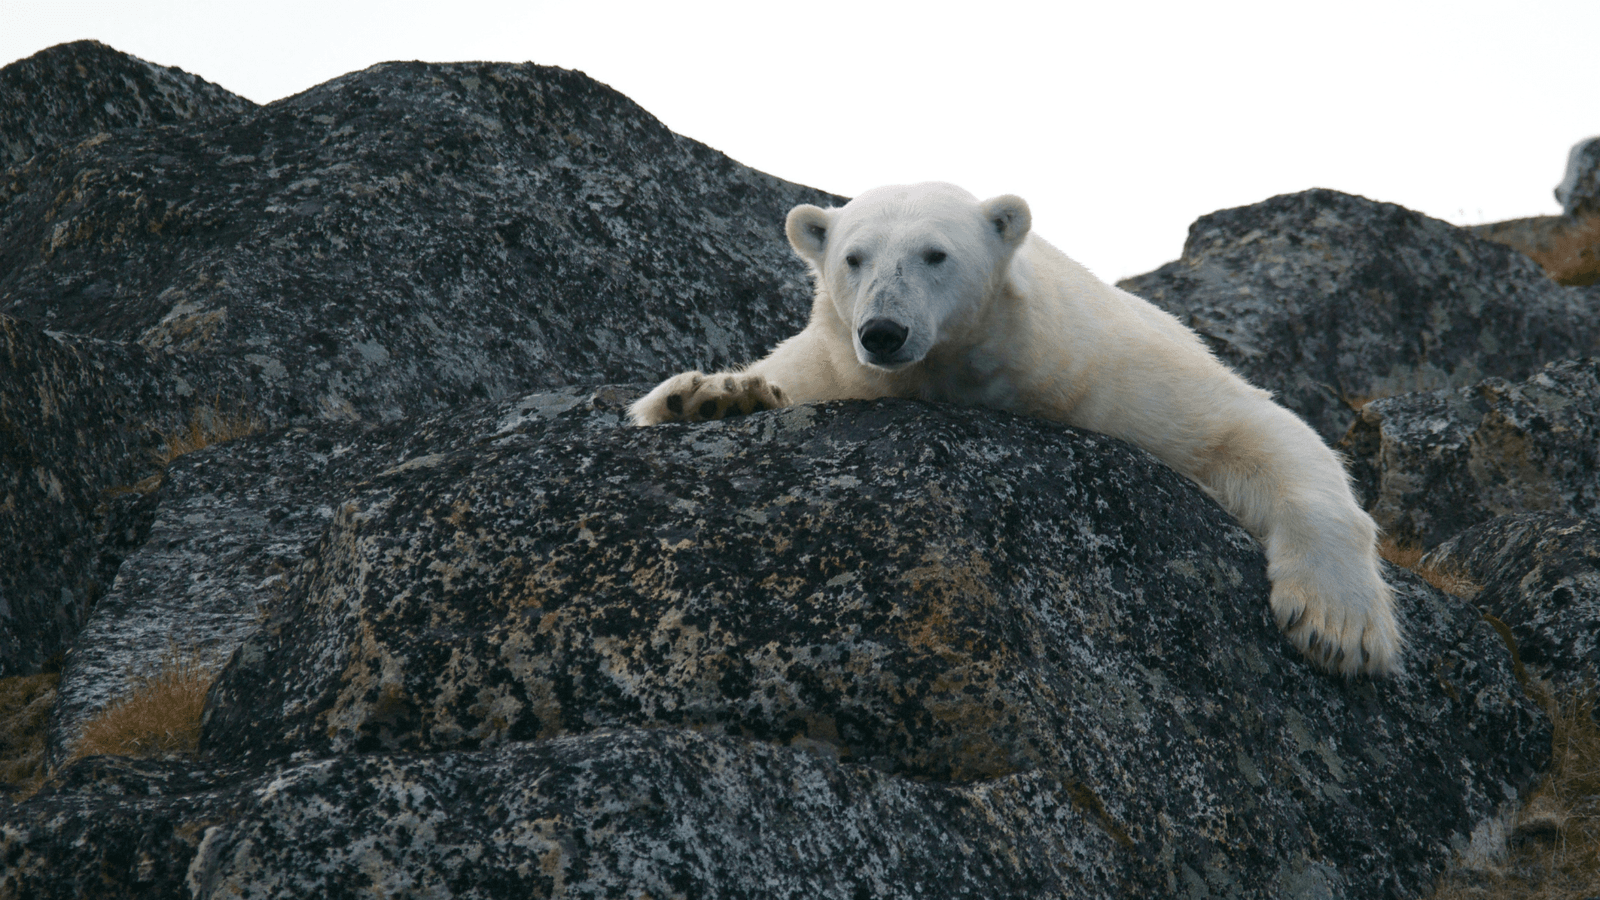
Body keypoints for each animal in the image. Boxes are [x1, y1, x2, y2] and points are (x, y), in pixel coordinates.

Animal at [629, 182, 1401, 677]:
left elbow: (1250, 428)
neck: (971, 371)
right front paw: (710, 397)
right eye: (853, 257)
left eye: (935, 254)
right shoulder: (835, 364)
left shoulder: (1109, 371)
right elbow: (776, 377)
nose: (882, 331)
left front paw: (1338, 628)